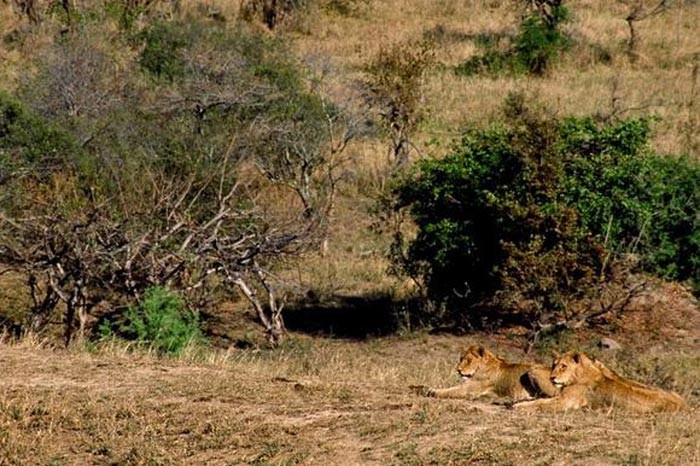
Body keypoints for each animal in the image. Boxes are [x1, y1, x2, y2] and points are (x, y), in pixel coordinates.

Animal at [418, 344, 560, 402]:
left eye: (468, 360)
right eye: (460, 358)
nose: (458, 370)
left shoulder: (467, 389)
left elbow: (445, 392)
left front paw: (426, 390)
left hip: (533, 370)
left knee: (552, 396)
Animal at [512, 352, 688, 414]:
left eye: (564, 366)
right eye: (554, 364)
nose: (552, 378)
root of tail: (685, 405)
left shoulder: (565, 402)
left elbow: (539, 404)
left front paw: (518, 406)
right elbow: (538, 400)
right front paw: (519, 402)